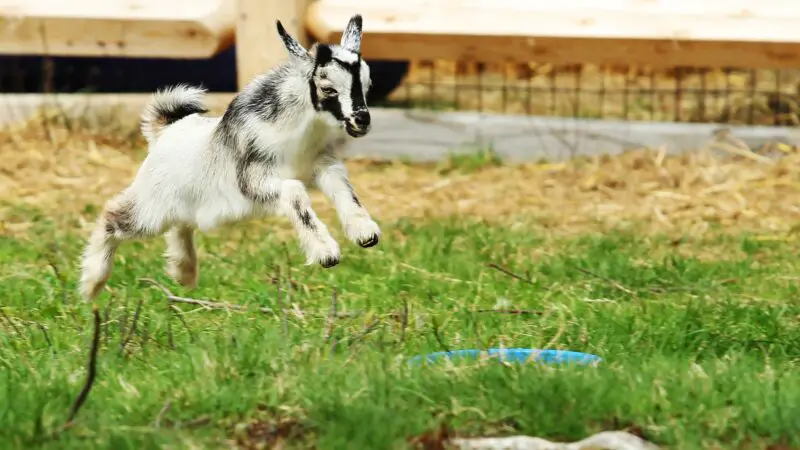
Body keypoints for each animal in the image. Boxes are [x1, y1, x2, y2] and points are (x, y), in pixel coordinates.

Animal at [79, 14, 380, 302]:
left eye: (367, 85)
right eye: (328, 89)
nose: (362, 121)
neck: (298, 138)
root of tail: (163, 131)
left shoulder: (321, 165)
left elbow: (342, 187)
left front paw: (365, 233)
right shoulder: (255, 179)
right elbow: (295, 193)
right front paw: (326, 253)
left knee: (180, 227)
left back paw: (184, 273)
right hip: (151, 208)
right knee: (112, 216)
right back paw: (92, 285)